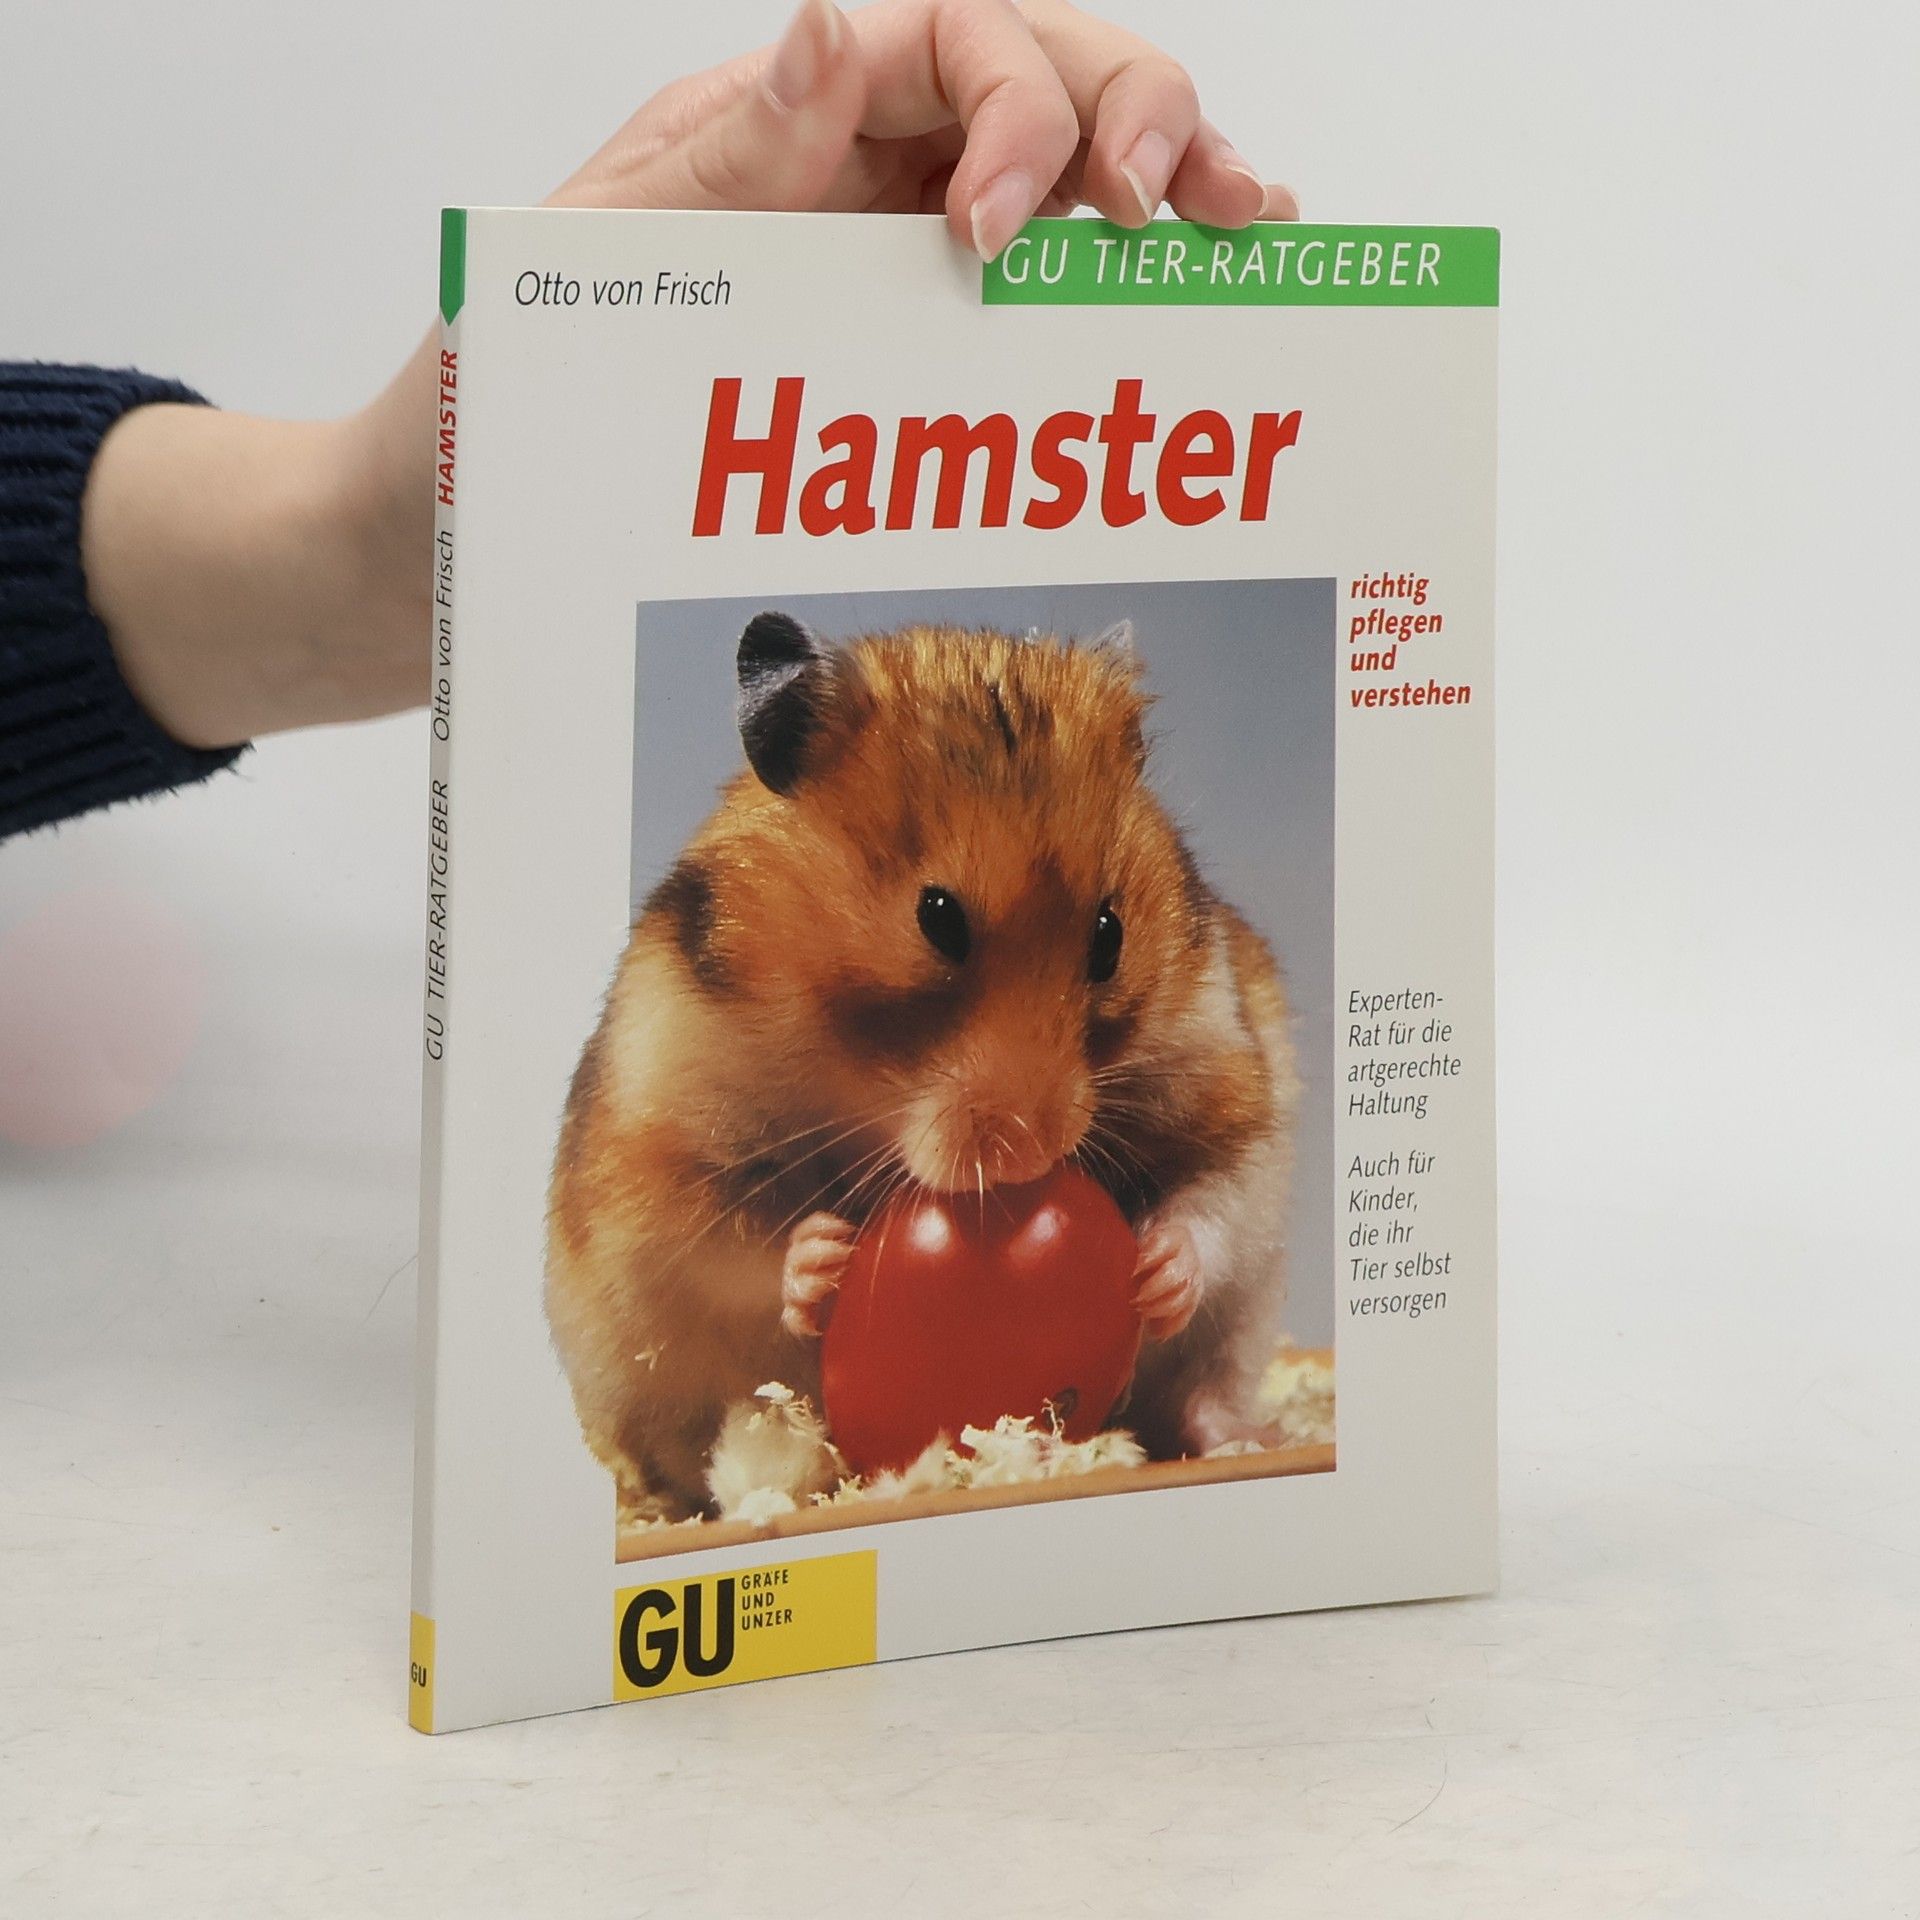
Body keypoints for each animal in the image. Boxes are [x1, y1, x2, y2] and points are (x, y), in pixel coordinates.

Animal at [545, 614, 1299, 1520]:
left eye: (1110, 935)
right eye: (936, 918)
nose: (1030, 1156)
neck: (858, 1085)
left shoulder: (1228, 1077)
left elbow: (1213, 1199)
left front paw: (1153, 1272)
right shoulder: (661, 1154)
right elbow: (738, 1244)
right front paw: (825, 1260)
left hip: (1241, 1330)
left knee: (1203, 1390)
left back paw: (1248, 1437)